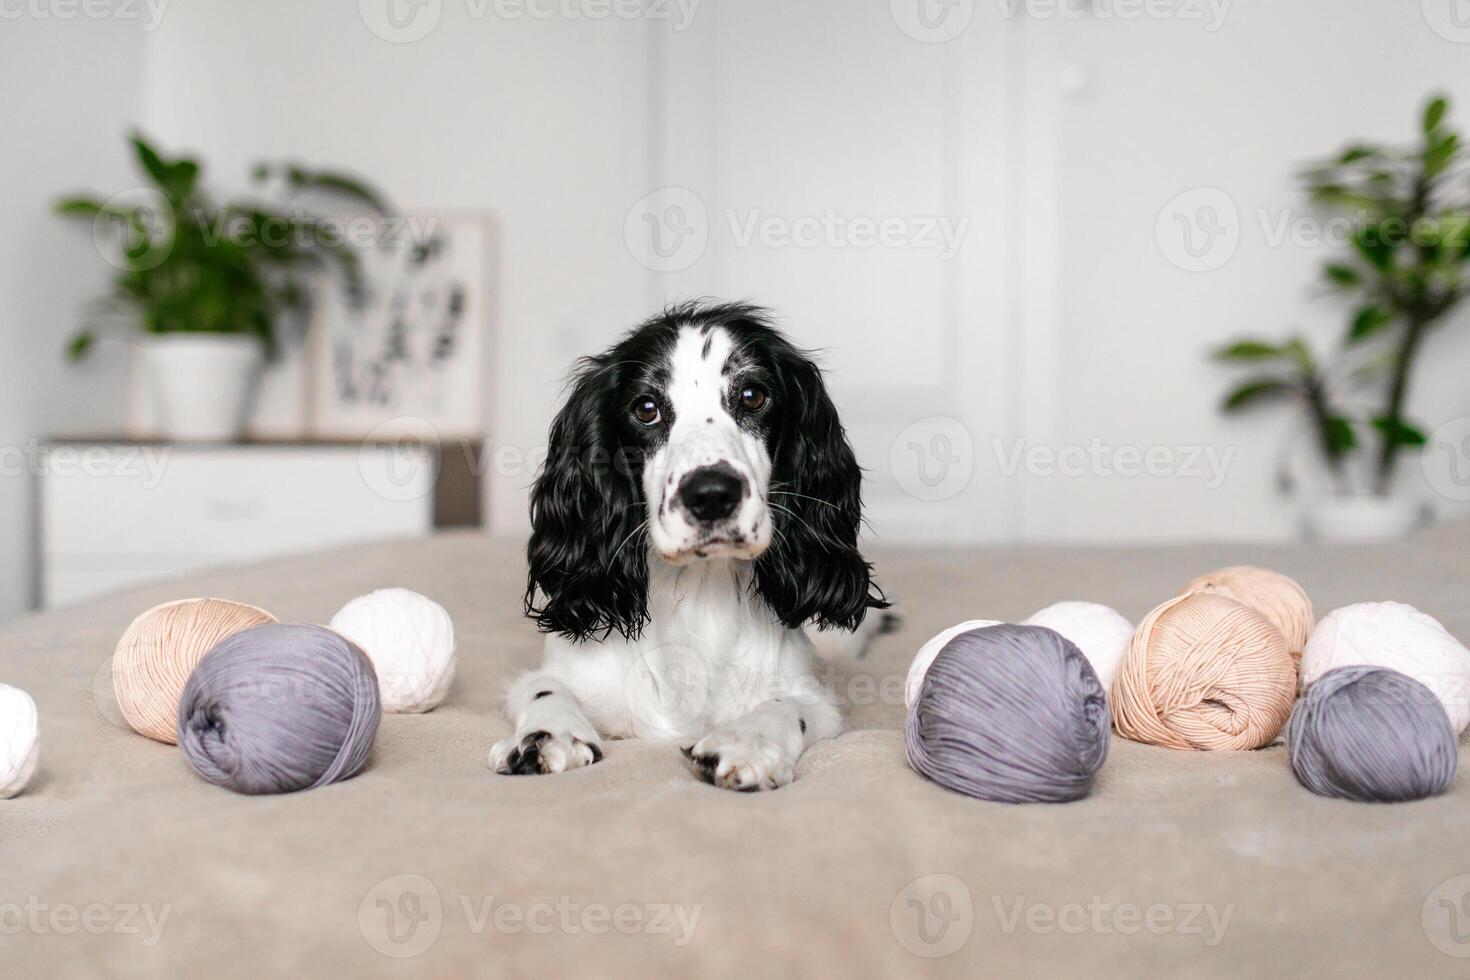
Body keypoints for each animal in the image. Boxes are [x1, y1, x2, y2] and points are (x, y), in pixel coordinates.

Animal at [490, 302, 882, 793]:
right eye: (646, 409)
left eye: (752, 395)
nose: (711, 494)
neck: (697, 590)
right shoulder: (556, 671)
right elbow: (546, 690)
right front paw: (547, 736)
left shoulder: (816, 701)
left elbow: (787, 707)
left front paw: (746, 742)